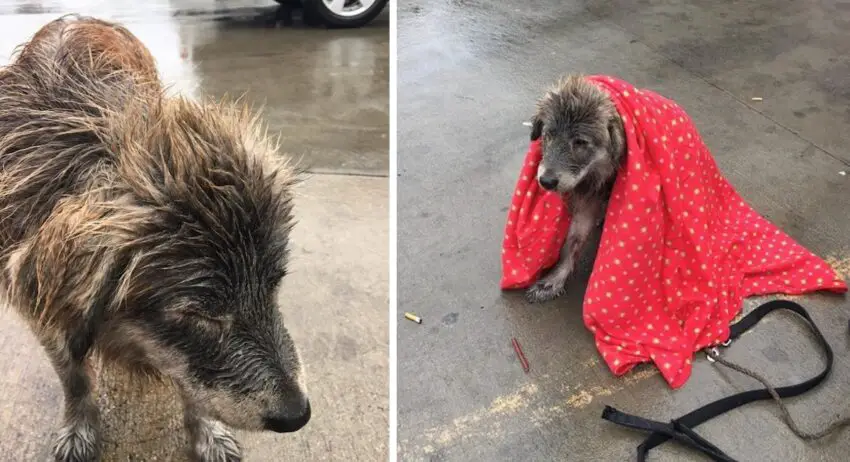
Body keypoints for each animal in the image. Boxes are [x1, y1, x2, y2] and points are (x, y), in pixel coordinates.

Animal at [0, 14, 310, 462]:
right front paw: (79, 428)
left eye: (274, 287)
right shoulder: (43, 309)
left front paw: (208, 433)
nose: (298, 414)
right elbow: (73, 376)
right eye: (200, 316)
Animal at [528, 74, 628, 304]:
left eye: (580, 142)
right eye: (549, 134)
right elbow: (574, 240)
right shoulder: (587, 200)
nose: (546, 181)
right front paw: (554, 280)